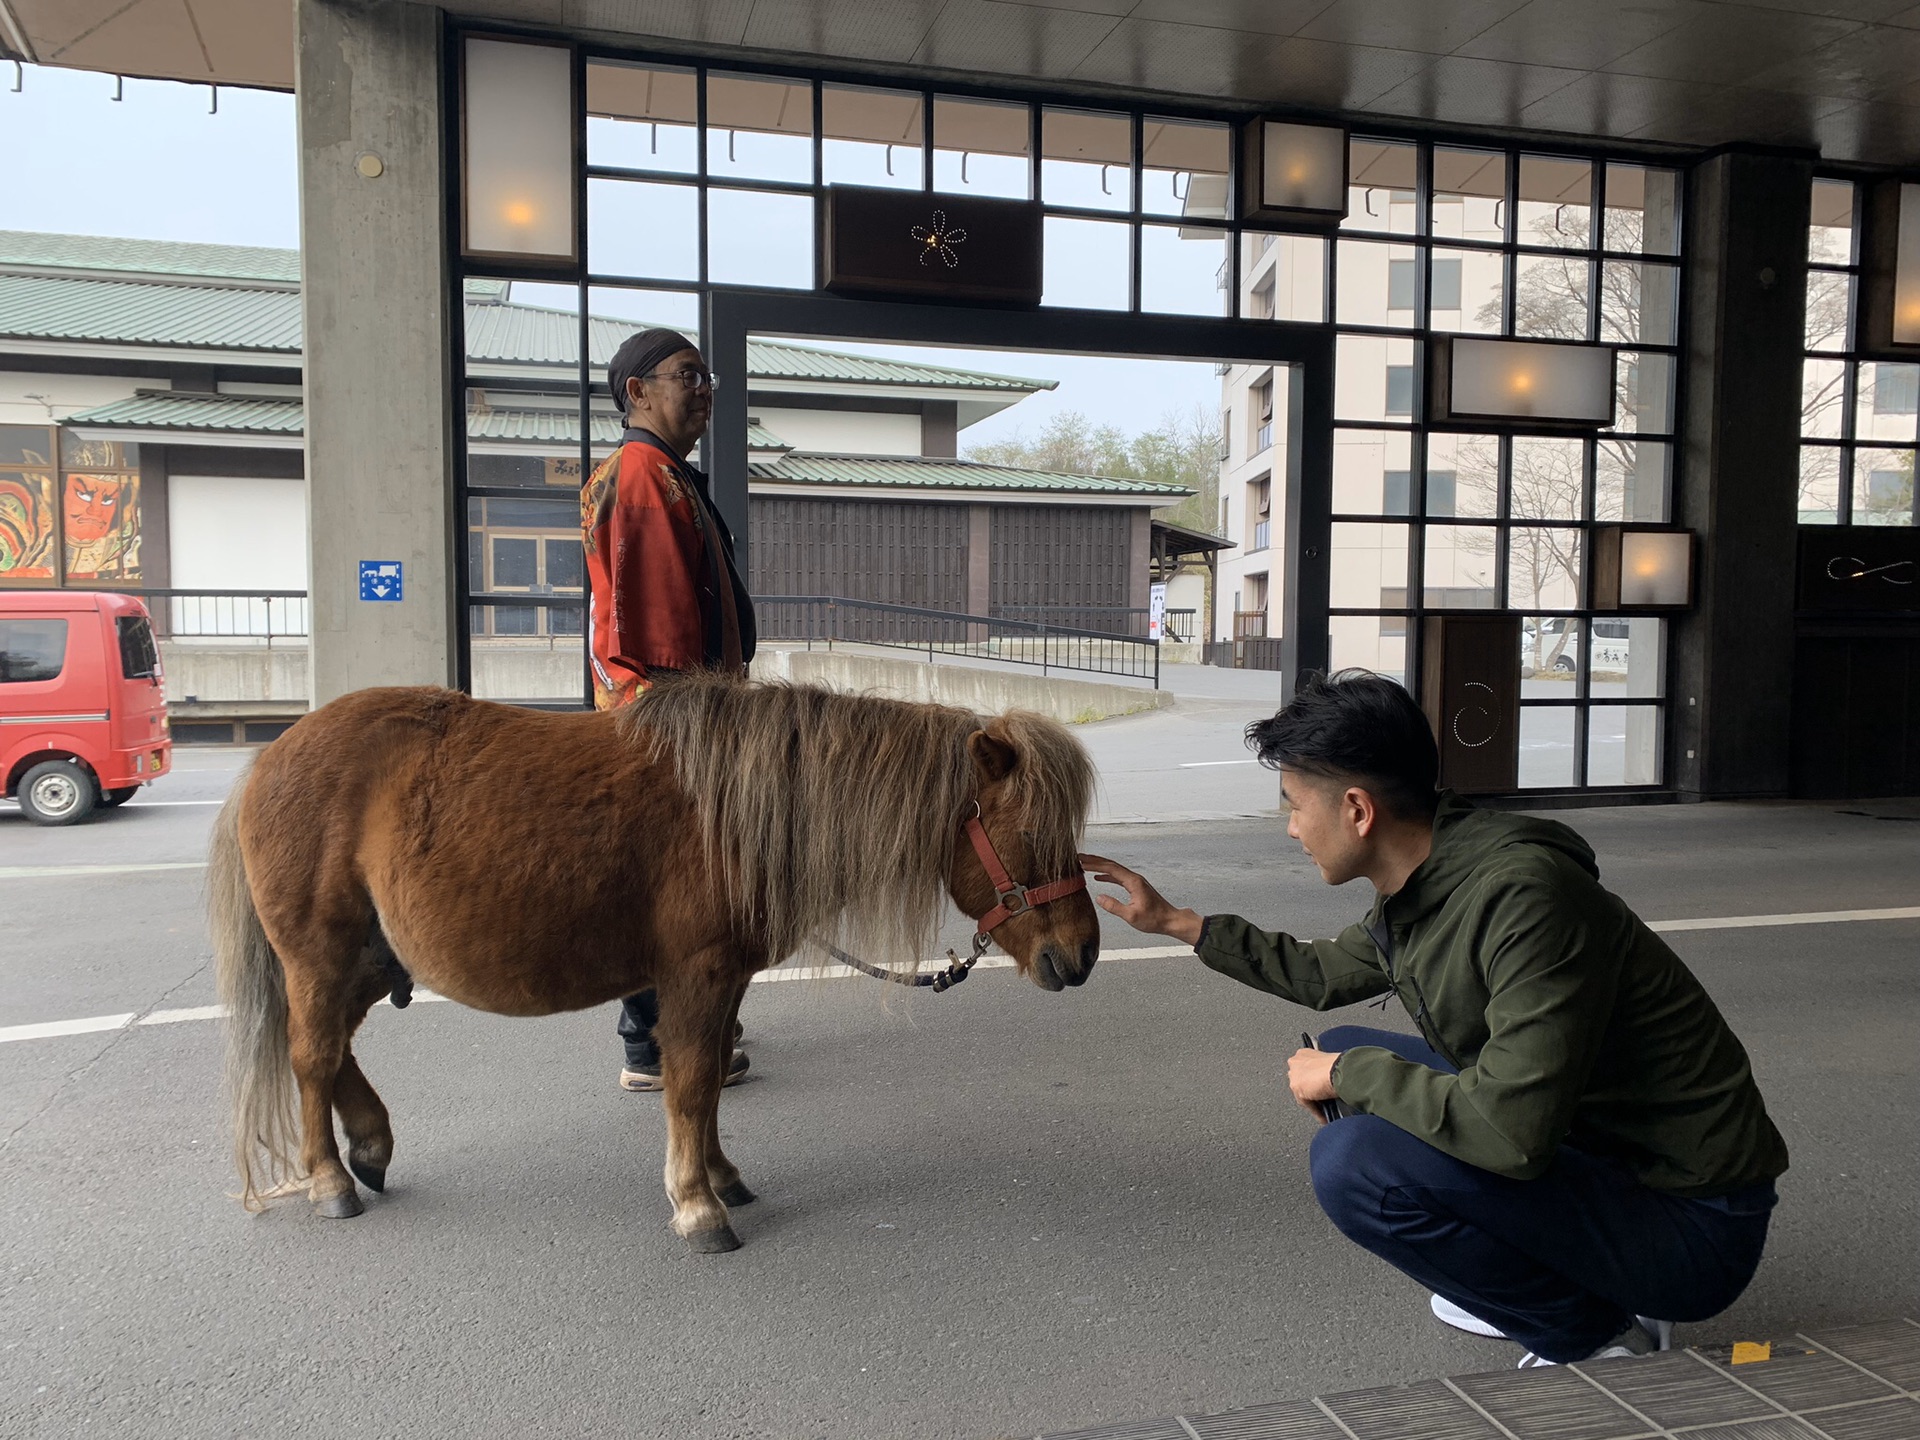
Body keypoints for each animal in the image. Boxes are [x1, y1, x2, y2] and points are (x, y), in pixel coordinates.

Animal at [208, 675, 1098, 1251]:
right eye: (1031, 832)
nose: (1083, 950)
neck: (734, 811)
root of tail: (269, 759)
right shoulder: (695, 976)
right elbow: (692, 1084)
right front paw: (697, 1204)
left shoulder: (723, 979)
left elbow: (706, 1088)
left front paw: (719, 1175)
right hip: (319, 955)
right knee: (311, 1054)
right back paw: (330, 1179)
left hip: (366, 959)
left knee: (333, 1052)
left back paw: (369, 1144)